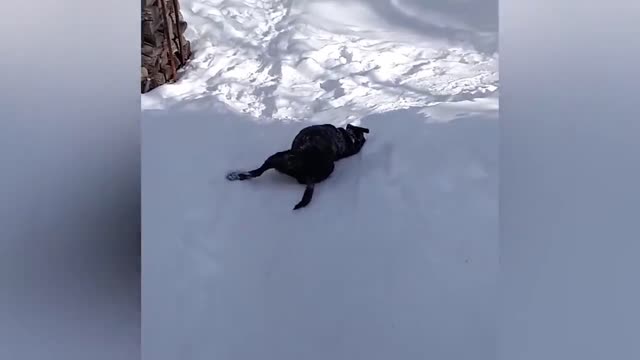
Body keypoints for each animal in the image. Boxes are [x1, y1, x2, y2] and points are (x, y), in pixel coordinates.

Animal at [228, 124, 372, 210]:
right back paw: (235, 176)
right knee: (257, 172)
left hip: (276, 157)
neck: (346, 137)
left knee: (257, 172)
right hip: (276, 158)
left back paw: (236, 175)